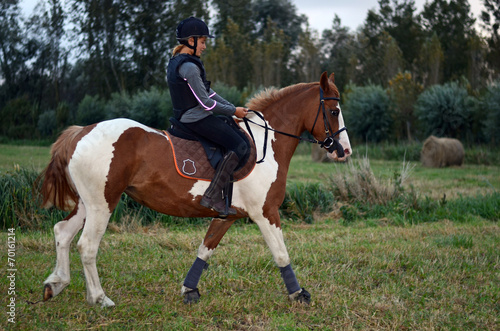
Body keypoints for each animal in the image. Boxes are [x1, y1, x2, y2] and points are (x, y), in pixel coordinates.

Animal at [39, 72, 350, 308]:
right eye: (333, 111)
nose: (344, 151)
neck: (267, 142)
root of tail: (81, 132)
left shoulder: (226, 216)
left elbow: (205, 249)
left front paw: (189, 290)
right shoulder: (266, 213)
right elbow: (281, 254)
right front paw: (298, 294)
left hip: (87, 204)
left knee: (62, 233)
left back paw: (56, 284)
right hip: (102, 204)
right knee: (87, 245)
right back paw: (99, 298)